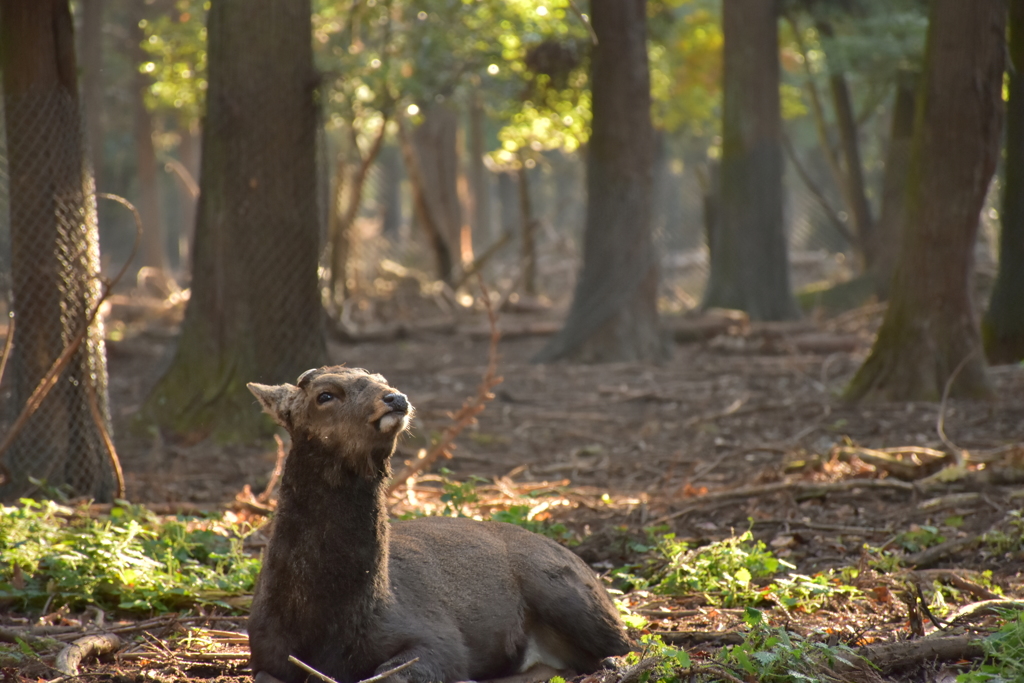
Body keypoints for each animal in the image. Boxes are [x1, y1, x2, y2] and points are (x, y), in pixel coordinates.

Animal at [247, 366, 630, 683]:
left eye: (380, 378)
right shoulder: (263, 653)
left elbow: (394, 674)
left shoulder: (438, 634)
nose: (395, 397)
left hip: (570, 594)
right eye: (325, 394)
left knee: (628, 645)